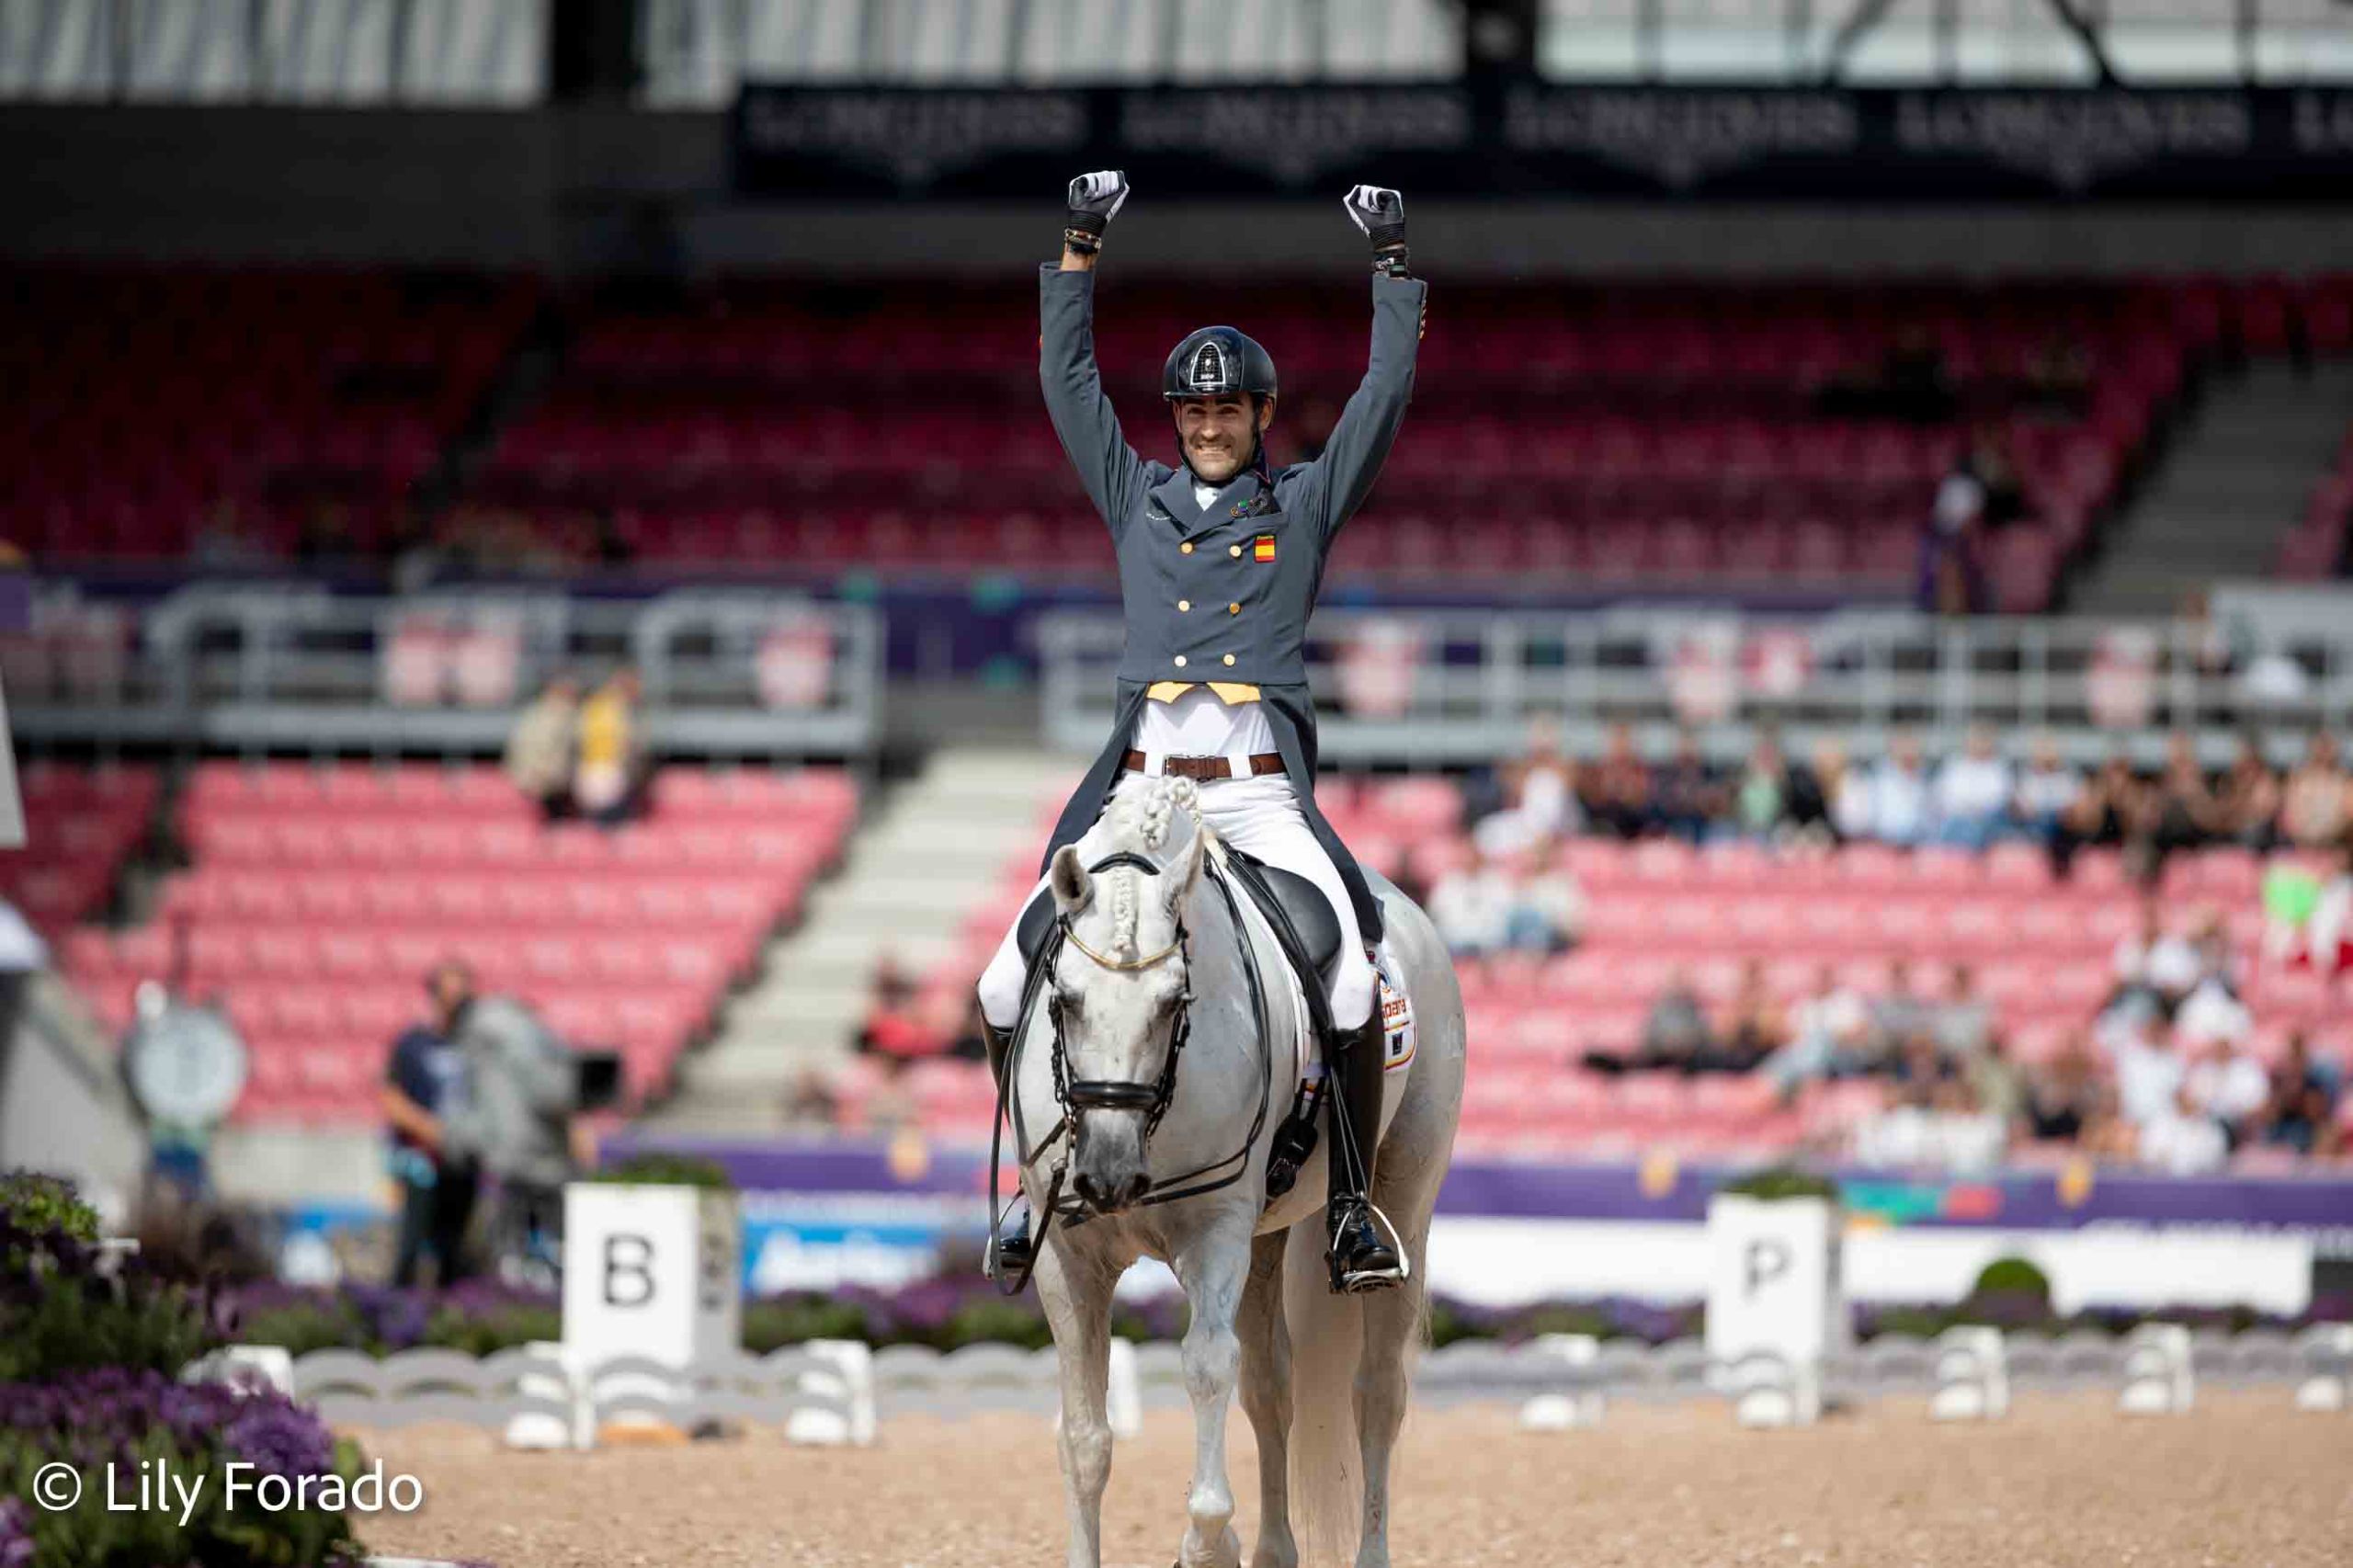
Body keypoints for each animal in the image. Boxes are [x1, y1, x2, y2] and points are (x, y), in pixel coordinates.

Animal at [1002, 777, 1459, 1562]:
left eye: (1172, 1002)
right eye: (1064, 1000)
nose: (1108, 1176)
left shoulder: (1215, 1229)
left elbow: (1208, 1365)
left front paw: (1207, 1541)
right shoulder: (1068, 1254)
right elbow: (1085, 1437)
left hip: (1403, 1198)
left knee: (1376, 1393)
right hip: (1265, 1238)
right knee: (1273, 1386)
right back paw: (1273, 1551)